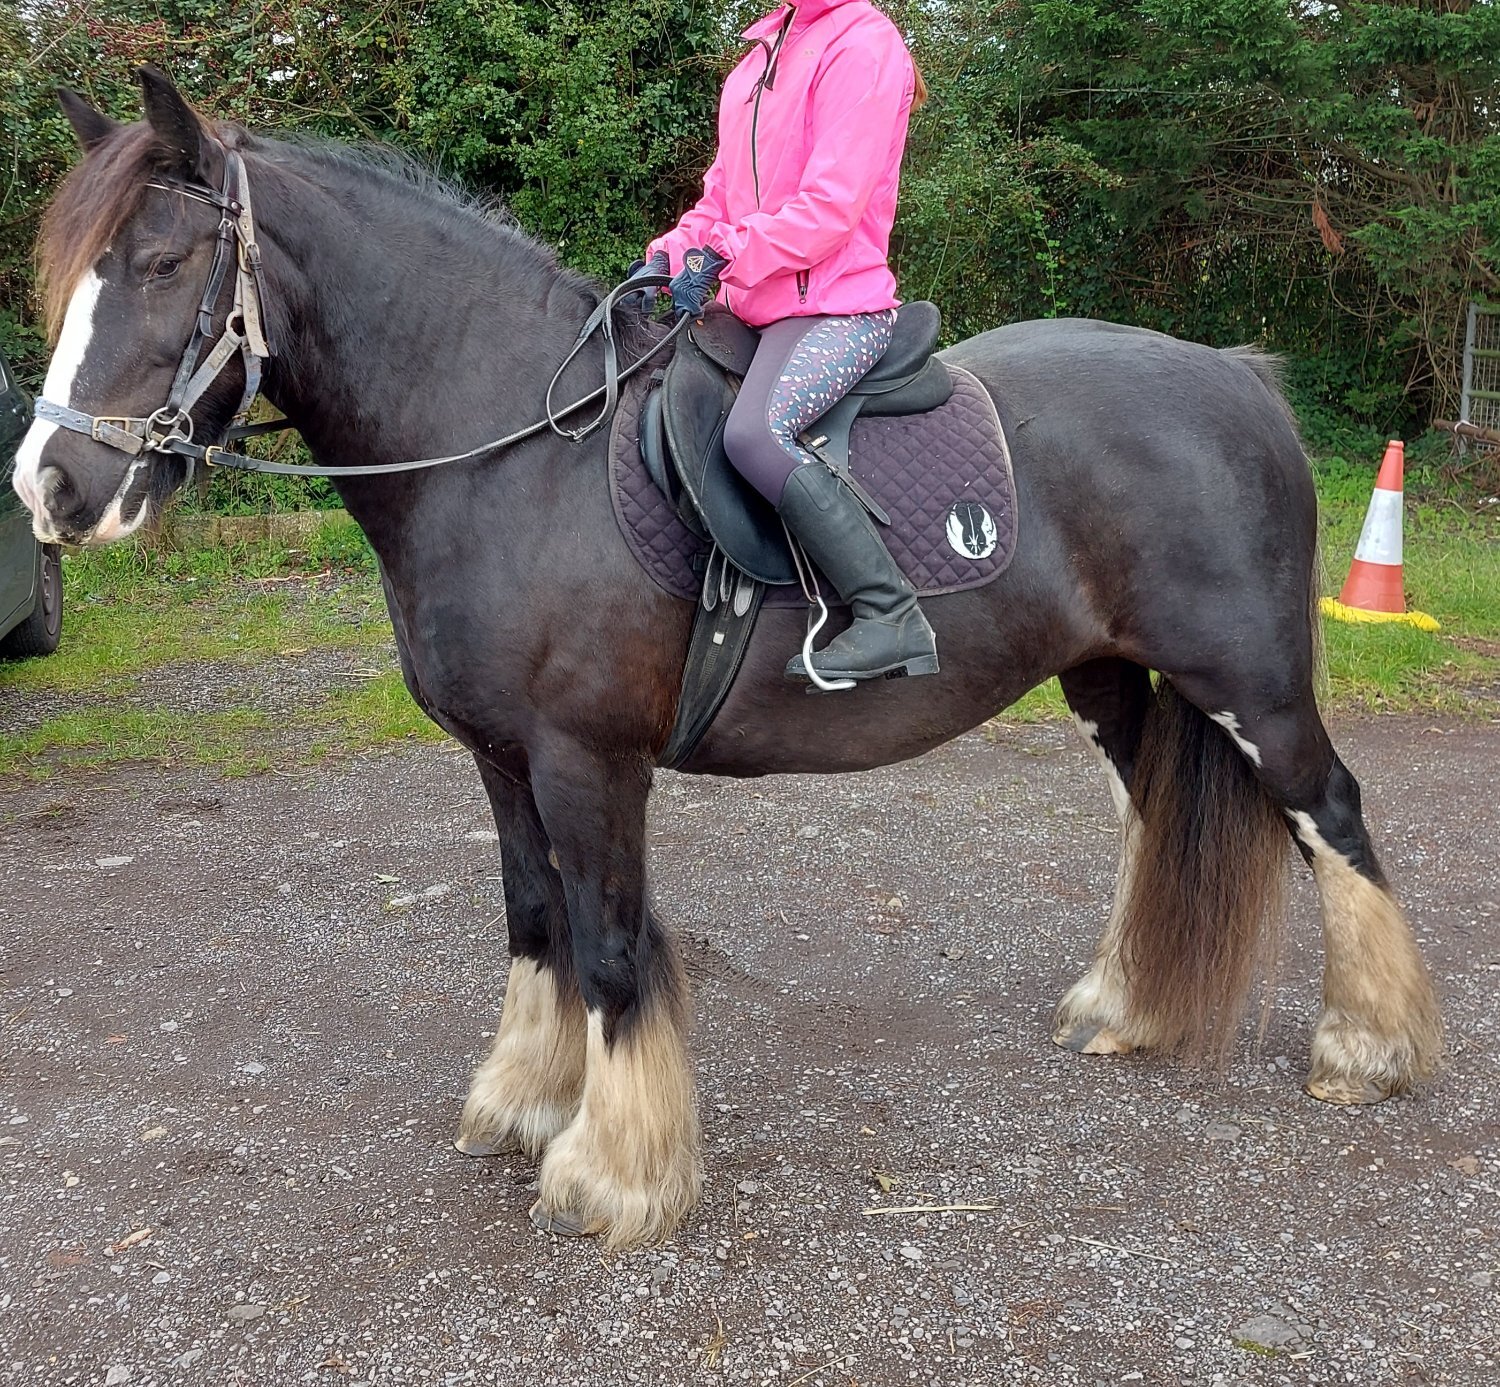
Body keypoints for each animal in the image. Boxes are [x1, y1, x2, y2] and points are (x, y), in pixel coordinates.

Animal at [15, 69, 1441, 1250]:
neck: (511, 452)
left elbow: (608, 947)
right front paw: (526, 1103)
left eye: (161, 260)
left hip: (1249, 682)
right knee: (1155, 808)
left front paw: (614, 1173)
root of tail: (1236, 377)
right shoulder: (502, 762)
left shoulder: (589, 763)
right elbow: (533, 920)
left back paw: (1368, 1047)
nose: (51, 487)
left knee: (1334, 816)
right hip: (1108, 674)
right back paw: (1128, 1007)